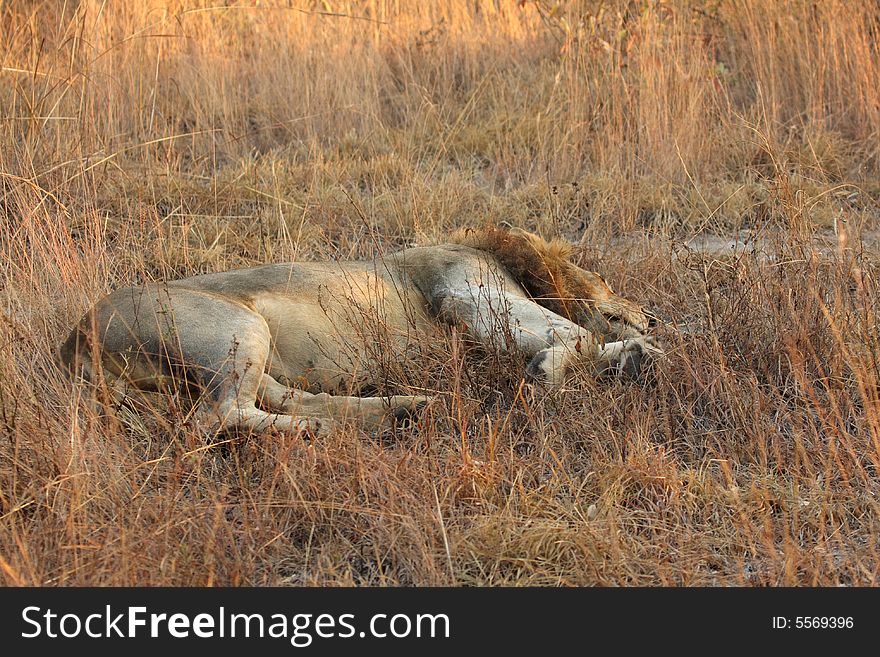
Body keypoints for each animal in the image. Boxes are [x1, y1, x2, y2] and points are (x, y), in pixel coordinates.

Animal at [60, 224, 660, 436]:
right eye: (607, 280)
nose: (652, 315)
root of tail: (73, 340)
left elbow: (591, 341)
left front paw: (641, 353)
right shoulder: (465, 297)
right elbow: (581, 336)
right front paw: (555, 370)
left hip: (249, 346)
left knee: (273, 398)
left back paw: (403, 410)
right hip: (236, 325)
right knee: (218, 416)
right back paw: (330, 432)